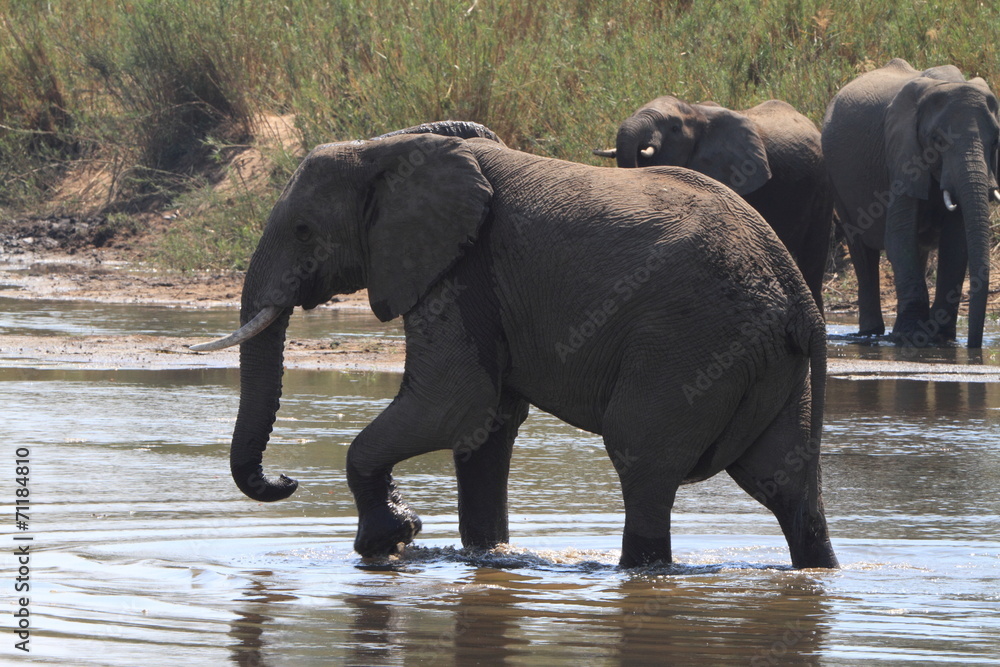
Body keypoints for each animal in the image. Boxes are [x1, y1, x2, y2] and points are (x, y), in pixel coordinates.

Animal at [191, 121, 838, 569]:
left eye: (303, 231)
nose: (284, 481)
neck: (393, 148)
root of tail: (800, 299)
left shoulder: (460, 269)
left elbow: (452, 403)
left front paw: (389, 540)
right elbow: (486, 424)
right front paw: (481, 556)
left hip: (689, 346)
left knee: (643, 463)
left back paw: (639, 571)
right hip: (770, 365)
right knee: (786, 483)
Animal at [822, 58, 1000, 347]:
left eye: (995, 140)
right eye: (938, 141)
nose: (974, 347)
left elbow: (956, 243)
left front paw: (940, 338)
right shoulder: (900, 151)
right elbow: (899, 236)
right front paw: (910, 337)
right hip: (837, 180)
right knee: (862, 250)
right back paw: (870, 334)